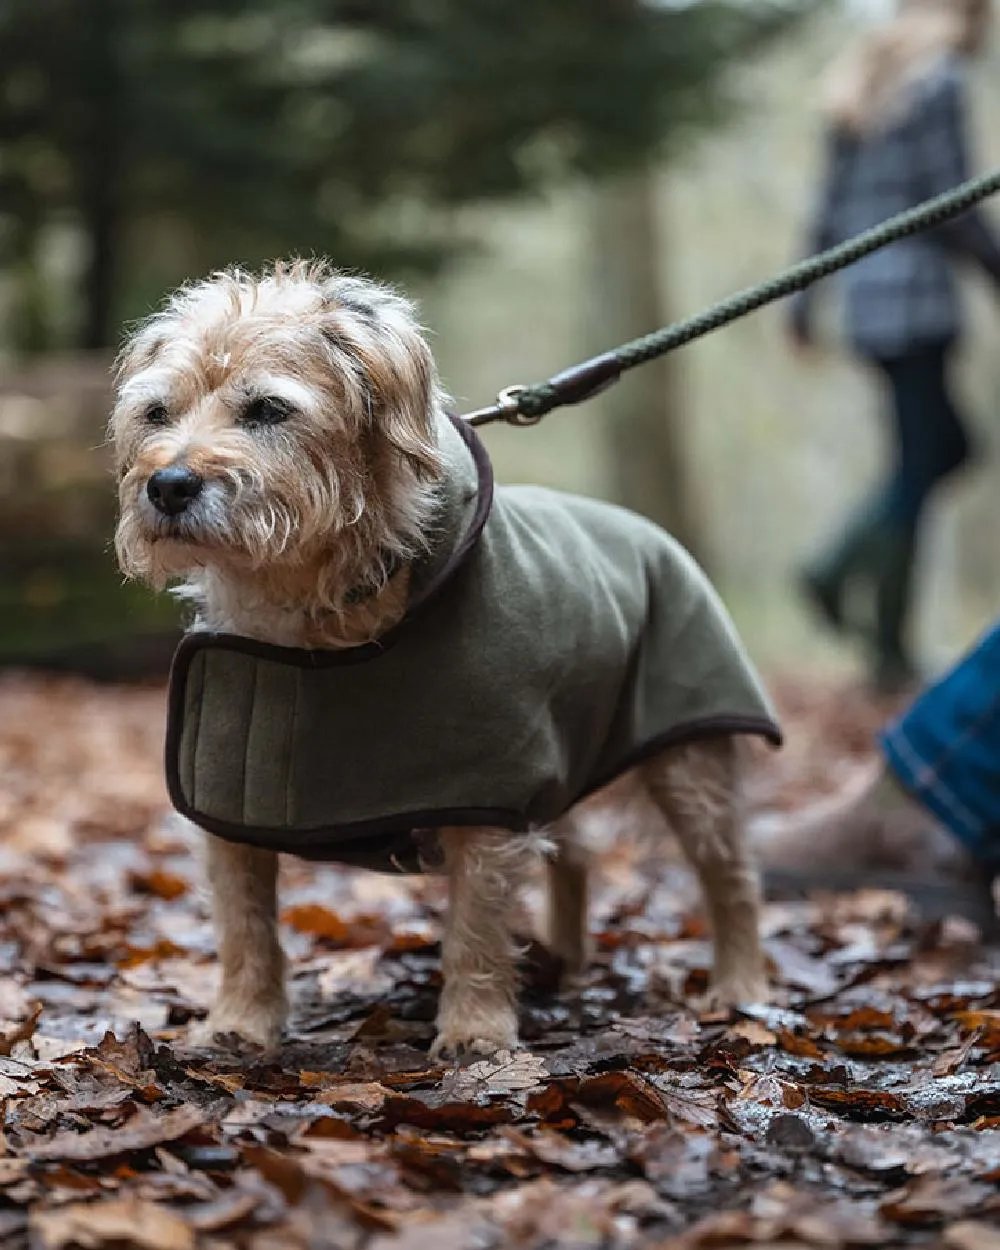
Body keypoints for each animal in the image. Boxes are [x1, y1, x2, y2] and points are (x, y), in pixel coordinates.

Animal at [111, 261, 780, 1055]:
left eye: (269, 410)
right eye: (158, 415)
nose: (168, 485)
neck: (313, 614)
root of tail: (646, 528)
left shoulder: (490, 796)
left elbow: (476, 927)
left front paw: (475, 1032)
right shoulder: (230, 811)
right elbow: (245, 924)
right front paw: (240, 1024)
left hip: (688, 765)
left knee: (732, 877)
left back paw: (740, 988)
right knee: (578, 855)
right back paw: (564, 961)